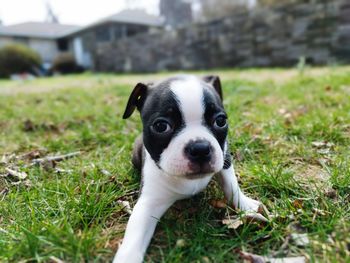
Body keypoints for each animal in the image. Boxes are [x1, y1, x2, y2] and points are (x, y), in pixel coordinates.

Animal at [113, 75, 262, 263]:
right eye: (161, 126)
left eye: (220, 121)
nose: (200, 148)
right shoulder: (149, 202)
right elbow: (135, 233)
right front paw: (127, 257)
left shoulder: (225, 157)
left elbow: (231, 185)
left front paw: (245, 205)